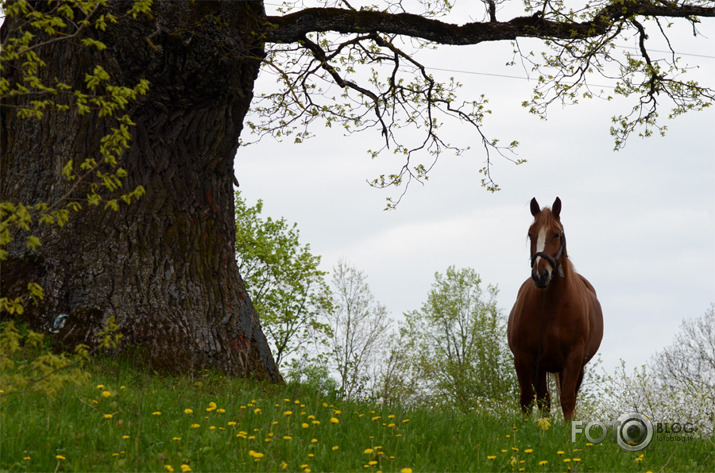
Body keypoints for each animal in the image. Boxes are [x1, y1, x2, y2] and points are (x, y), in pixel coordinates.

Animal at [510, 197, 604, 418]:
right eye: (530, 234)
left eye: (556, 234)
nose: (540, 274)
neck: (552, 308)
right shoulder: (524, 358)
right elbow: (528, 400)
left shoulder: (573, 359)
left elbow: (567, 400)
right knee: (543, 399)